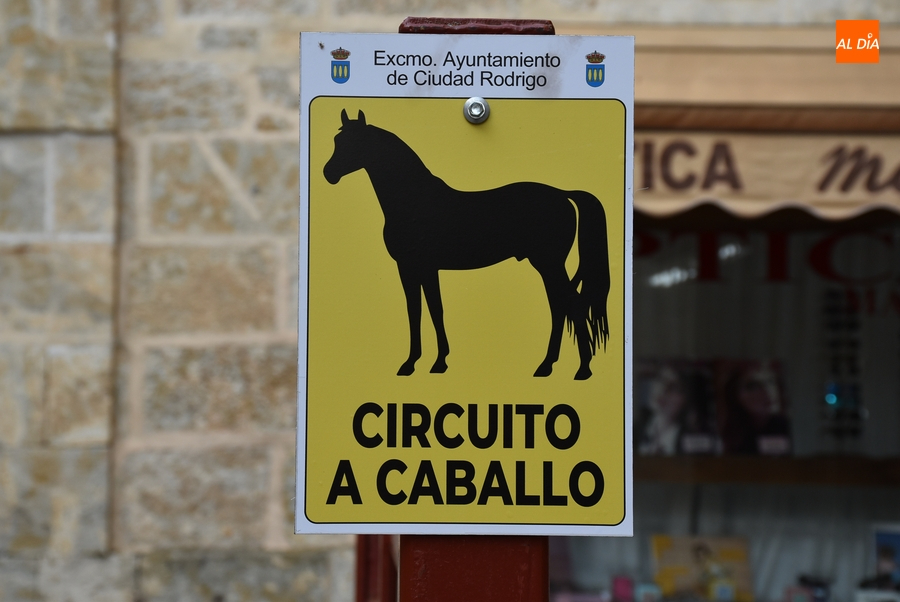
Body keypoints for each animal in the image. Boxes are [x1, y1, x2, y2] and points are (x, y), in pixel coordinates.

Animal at [323, 109, 610, 380]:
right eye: (338, 140)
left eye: (355, 142)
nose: (328, 174)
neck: (414, 200)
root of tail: (564, 195)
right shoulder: (417, 268)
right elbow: (424, 310)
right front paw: (425, 362)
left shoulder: (418, 267)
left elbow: (426, 311)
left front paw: (425, 363)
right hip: (547, 265)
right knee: (560, 306)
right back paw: (547, 366)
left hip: (549, 263)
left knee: (572, 305)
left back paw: (581, 369)